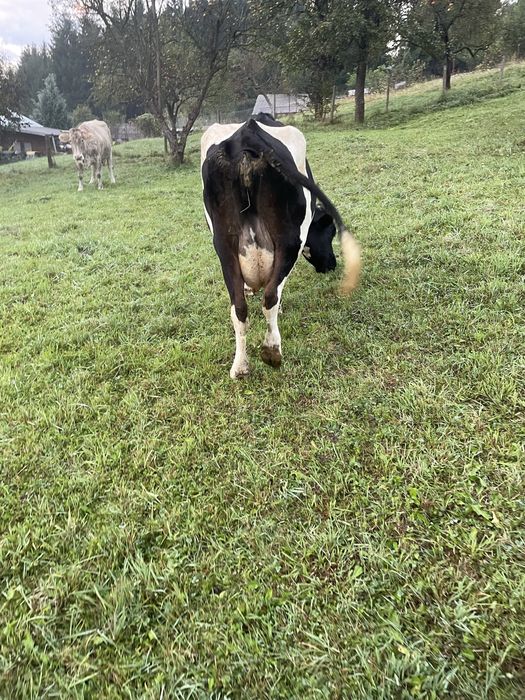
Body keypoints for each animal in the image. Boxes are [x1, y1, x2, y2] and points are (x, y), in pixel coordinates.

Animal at [201, 113, 361, 379]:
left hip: (224, 244)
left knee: (239, 308)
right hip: (289, 240)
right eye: (329, 232)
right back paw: (272, 350)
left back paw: (240, 367)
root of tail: (248, 133)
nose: (331, 264)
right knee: (271, 296)